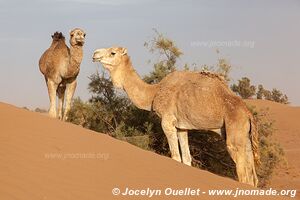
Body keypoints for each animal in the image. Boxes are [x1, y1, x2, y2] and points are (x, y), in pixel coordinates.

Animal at [92, 46, 258, 187]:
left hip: (234, 132)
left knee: (243, 175)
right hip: (245, 138)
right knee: (252, 175)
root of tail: (248, 114)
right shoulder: (182, 127)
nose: (95, 54)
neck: (154, 93)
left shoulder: (167, 121)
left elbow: (175, 157)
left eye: (112, 52)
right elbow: (186, 159)